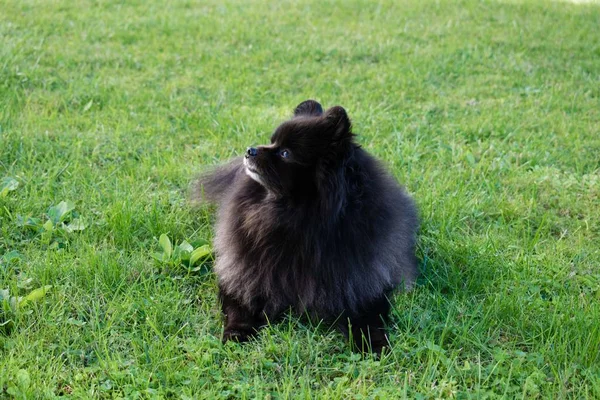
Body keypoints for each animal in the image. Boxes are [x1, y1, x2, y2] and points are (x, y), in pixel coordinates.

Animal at [195, 101, 420, 354]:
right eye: (271, 142)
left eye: (285, 153)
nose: (250, 150)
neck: (294, 219)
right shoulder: (247, 272)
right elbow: (239, 305)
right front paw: (236, 334)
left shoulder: (360, 279)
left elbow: (369, 315)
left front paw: (374, 344)